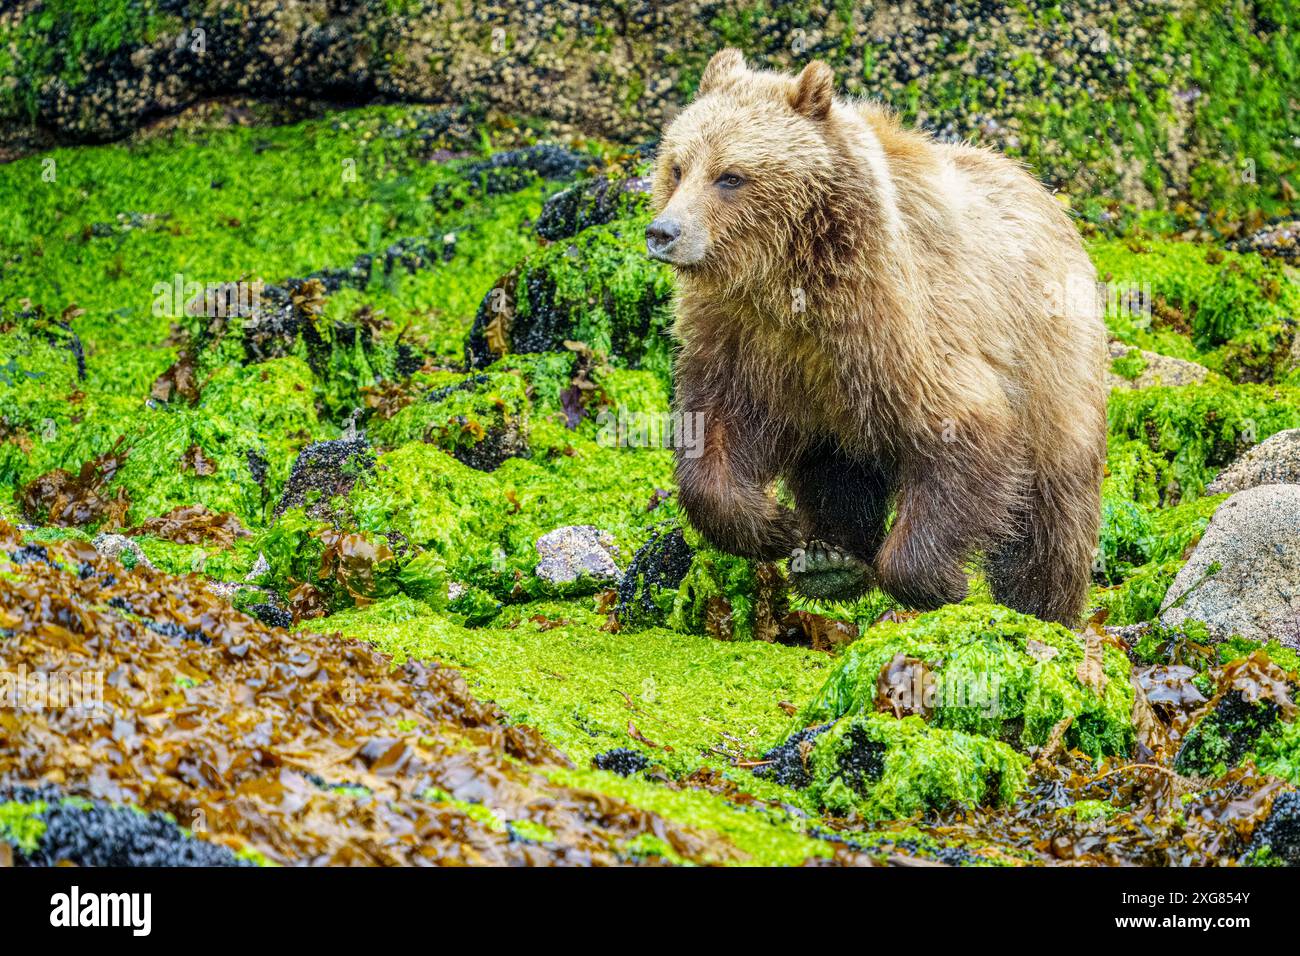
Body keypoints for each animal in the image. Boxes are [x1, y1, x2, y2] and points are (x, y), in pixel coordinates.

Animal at [650, 50, 1107, 629]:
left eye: (731, 176)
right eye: (677, 166)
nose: (664, 232)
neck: (790, 282)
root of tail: (1047, 196)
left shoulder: (901, 329)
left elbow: (965, 429)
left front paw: (938, 582)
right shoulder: (742, 340)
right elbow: (713, 435)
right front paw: (775, 526)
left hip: (1054, 376)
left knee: (1051, 518)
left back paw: (1046, 612)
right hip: (837, 417)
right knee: (837, 472)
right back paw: (830, 558)